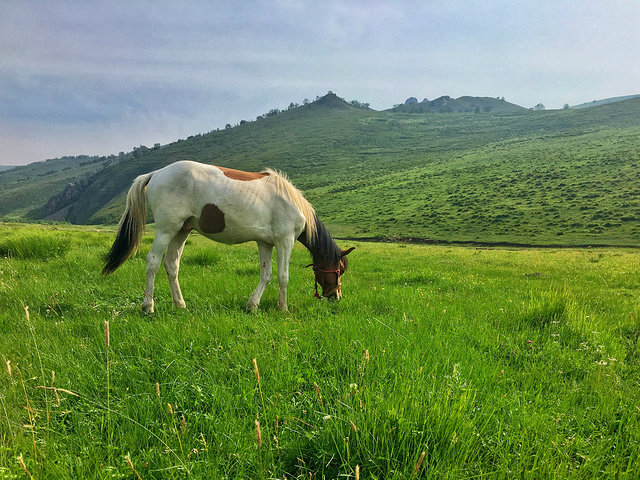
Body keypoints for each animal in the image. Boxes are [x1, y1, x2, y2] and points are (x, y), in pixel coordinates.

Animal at [102, 159, 352, 314]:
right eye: (339, 270)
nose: (337, 297)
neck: (291, 202)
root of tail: (155, 174)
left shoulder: (265, 243)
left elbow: (266, 275)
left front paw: (252, 306)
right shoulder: (285, 241)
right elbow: (283, 276)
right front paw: (283, 308)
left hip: (181, 231)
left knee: (171, 265)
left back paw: (180, 305)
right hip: (166, 229)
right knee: (153, 262)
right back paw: (148, 306)